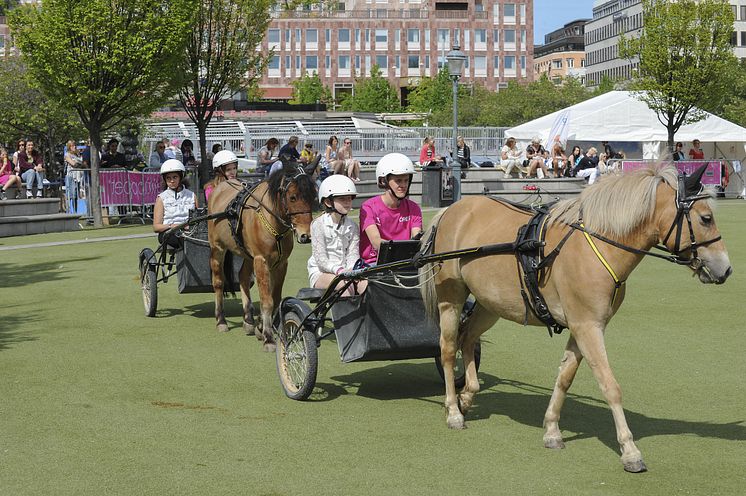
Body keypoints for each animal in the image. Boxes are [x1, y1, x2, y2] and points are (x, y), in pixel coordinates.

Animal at [206, 165, 316, 350]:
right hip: (217, 248)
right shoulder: (261, 261)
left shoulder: (281, 263)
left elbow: (275, 298)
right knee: (218, 282)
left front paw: (260, 325)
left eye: (313, 196)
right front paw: (268, 337)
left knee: (243, 277)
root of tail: (220, 186)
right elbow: (267, 300)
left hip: (247, 255)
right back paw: (221, 320)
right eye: (293, 197)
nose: (306, 235)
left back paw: (248, 320)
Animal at [422, 164, 728, 472]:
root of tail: (451, 210)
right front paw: (629, 450)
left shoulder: (582, 327)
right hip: (452, 298)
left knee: (468, 338)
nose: (726, 268)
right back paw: (453, 410)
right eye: (706, 218)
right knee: (448, 348)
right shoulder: (588, 327)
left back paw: (468, 394)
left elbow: (565, 378)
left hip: (490, 303)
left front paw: (552, 430)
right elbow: (610, 386)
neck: (600, 247)